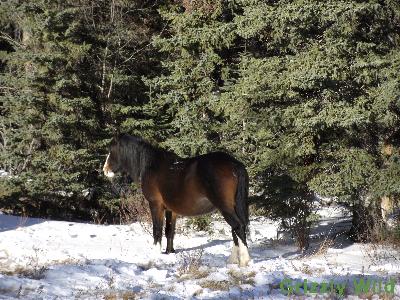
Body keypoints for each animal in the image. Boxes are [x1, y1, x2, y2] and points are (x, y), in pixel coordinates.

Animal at [102, 135, 250, 266]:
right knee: (236, 228)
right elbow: (169, 231)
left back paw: (244, 260)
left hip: (225, 207)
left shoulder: (155, 205)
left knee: (238, 226)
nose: (105, 170)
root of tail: (234, 164)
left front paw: (154, 256)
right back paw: (233, 260)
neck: (151, 165)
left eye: (111, 150)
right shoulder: (171, 210)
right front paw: (169, 252)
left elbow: (157, 230)